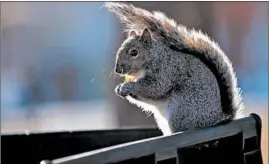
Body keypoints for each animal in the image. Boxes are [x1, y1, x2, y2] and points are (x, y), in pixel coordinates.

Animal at [103, 2, 246, 136]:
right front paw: (120, 88)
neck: (154, 58)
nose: (117, 70)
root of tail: (217, 118)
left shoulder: (166, 71)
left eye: (134, 52)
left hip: (181, 112)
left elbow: (155, 87)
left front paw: (129, 86)